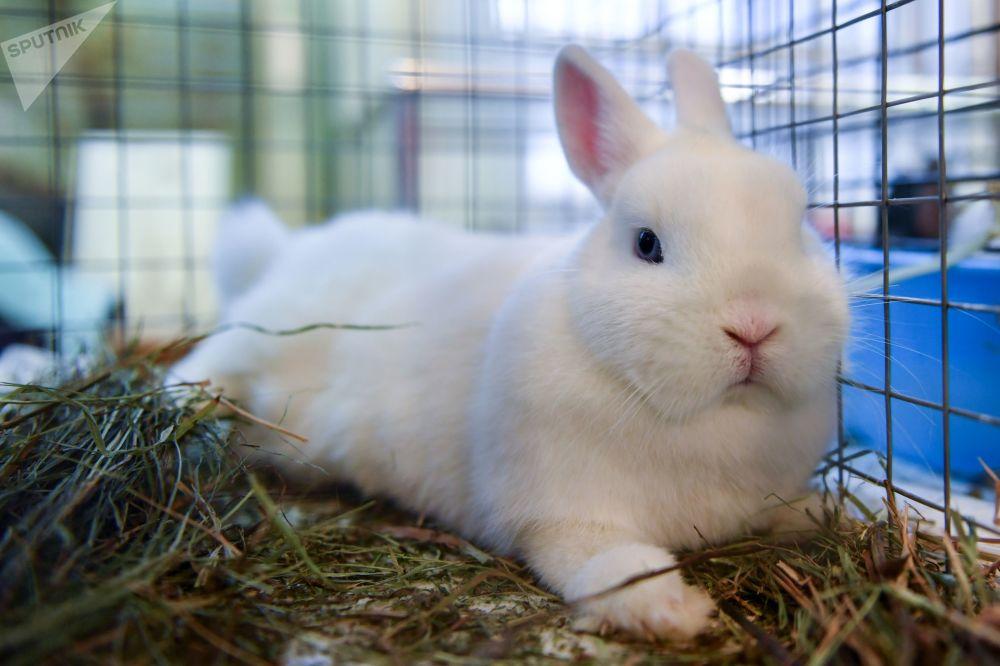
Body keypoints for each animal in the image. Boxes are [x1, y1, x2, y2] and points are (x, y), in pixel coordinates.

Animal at [172, 45, 849, 640]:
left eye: (799, 228)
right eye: (647, 244)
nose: (755, 325)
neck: (710, 417)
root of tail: (283, 253)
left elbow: (782, 511)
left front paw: (824, 511)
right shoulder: (560, 519)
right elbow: (611, 566)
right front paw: (669, 611)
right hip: (255, 341)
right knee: (191, 371)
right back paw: (184, 409)